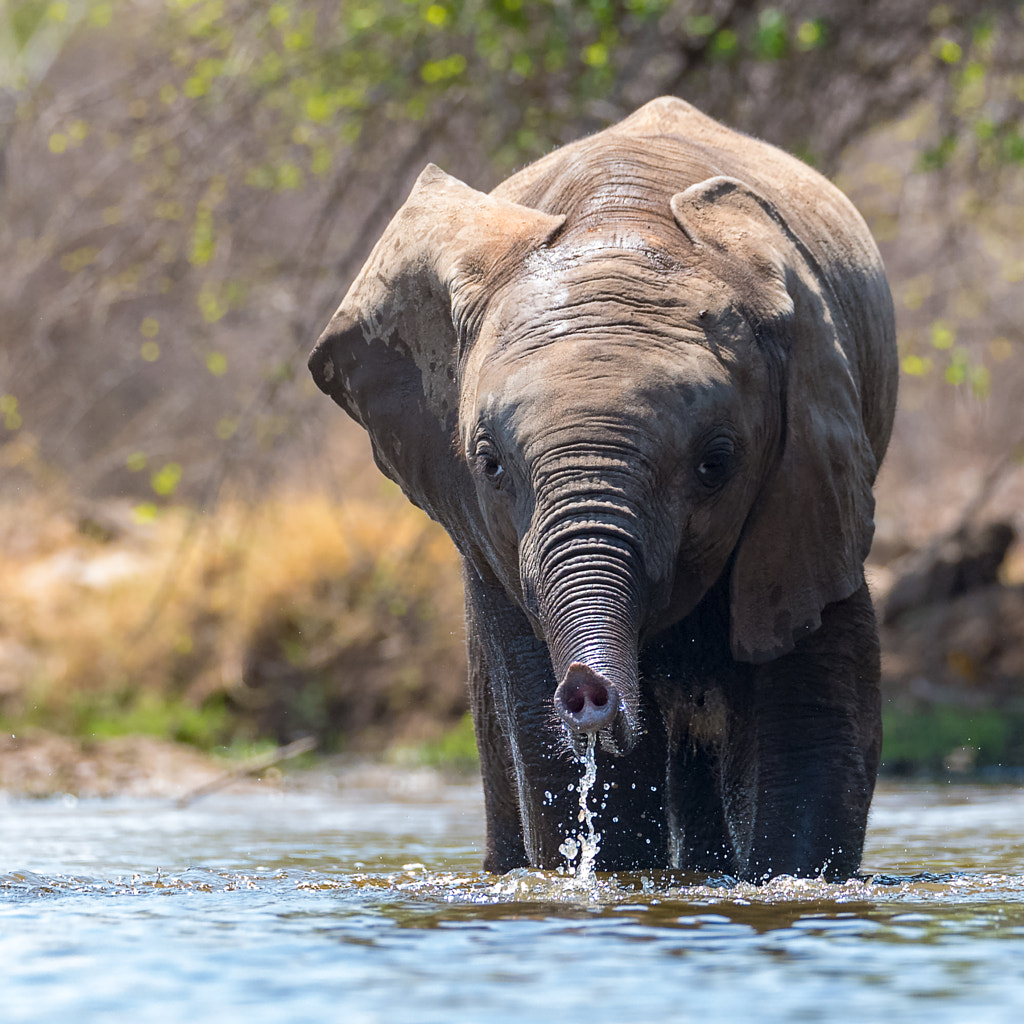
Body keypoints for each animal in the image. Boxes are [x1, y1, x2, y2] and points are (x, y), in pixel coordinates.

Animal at [305, 94, 897, 880]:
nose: (590, 692)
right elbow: (563, 760)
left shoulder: (811, 473)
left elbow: (813, 730)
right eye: (489, 465)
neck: (622, 222)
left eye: (716, 463)